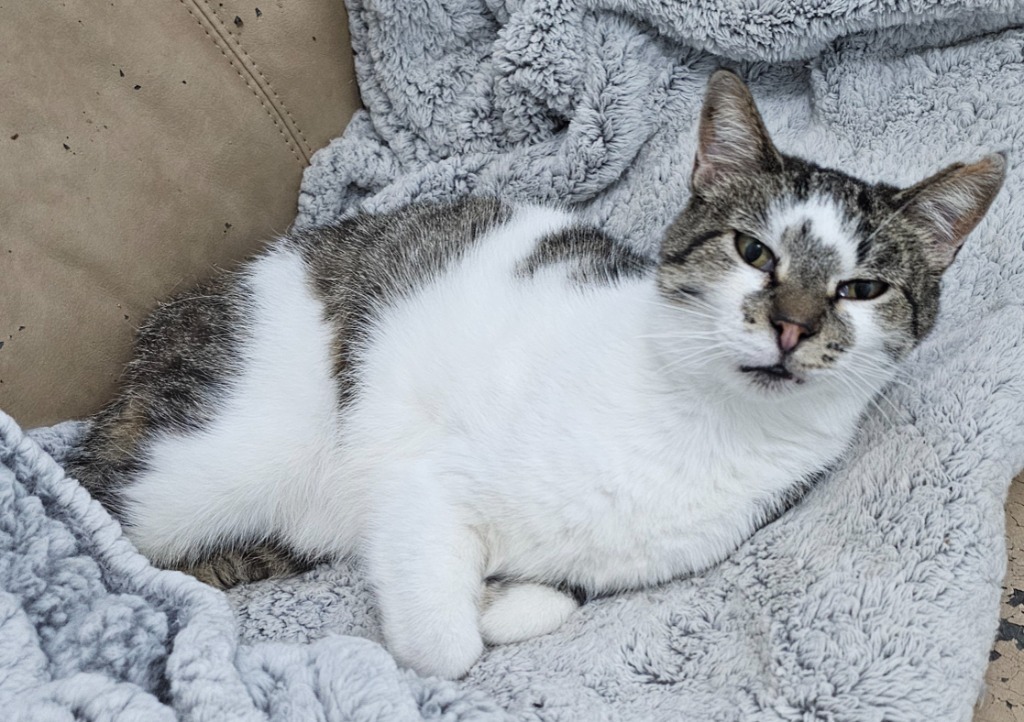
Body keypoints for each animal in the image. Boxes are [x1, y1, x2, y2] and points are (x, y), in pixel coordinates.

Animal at [68, 70, 1003, 680]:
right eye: (752, 250)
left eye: (862, 288)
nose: (792, 326)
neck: (704, 424)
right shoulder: (420, 477)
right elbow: (447, 645)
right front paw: (458, 623)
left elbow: (560, 591)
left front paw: (511, 598)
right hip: (221, 455)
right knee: (104, 511)